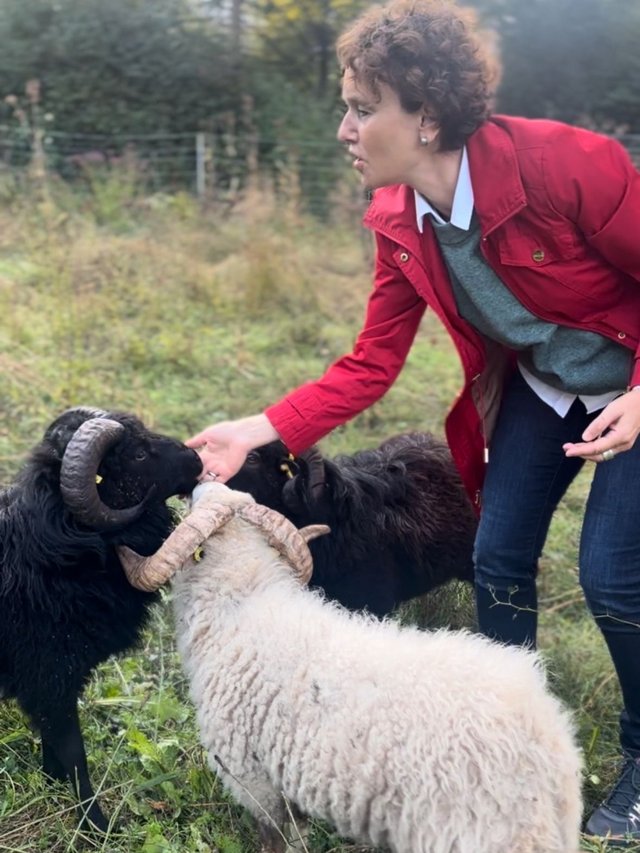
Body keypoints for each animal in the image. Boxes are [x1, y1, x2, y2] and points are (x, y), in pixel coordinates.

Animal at [0, 406, 202, 824]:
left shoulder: (52, 684)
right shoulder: (49, 676)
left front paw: (51, 782)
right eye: (138, 455)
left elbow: (52, 743)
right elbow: (74, 752)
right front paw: (95, 824)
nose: (197, 458)